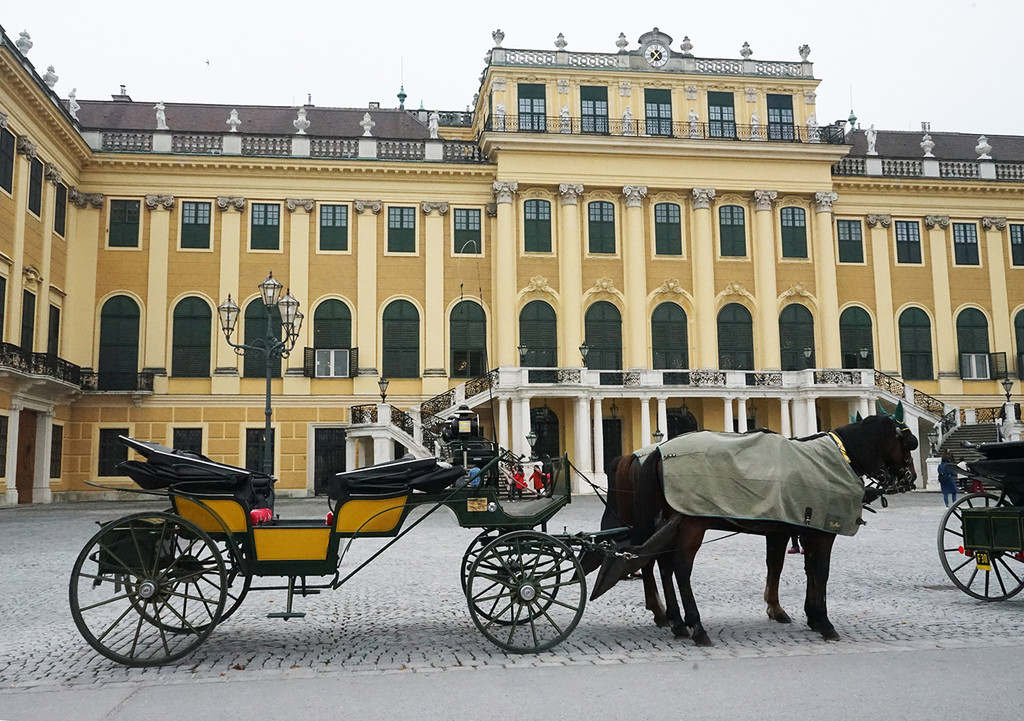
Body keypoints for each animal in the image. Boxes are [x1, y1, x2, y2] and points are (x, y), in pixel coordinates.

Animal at [593, 411, 921, 647]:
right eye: (907, 444)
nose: (911, 478)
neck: (838, 456)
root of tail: (659, 452)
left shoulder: (792, 527)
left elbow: (788, 566)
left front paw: (801, 614)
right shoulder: (822, 530)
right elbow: (819, 571)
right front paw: (823, 621)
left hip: (668, 521)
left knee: (661, 564)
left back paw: (675, 621)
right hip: (690, 523)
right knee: (679, 567)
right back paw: (695, 626)